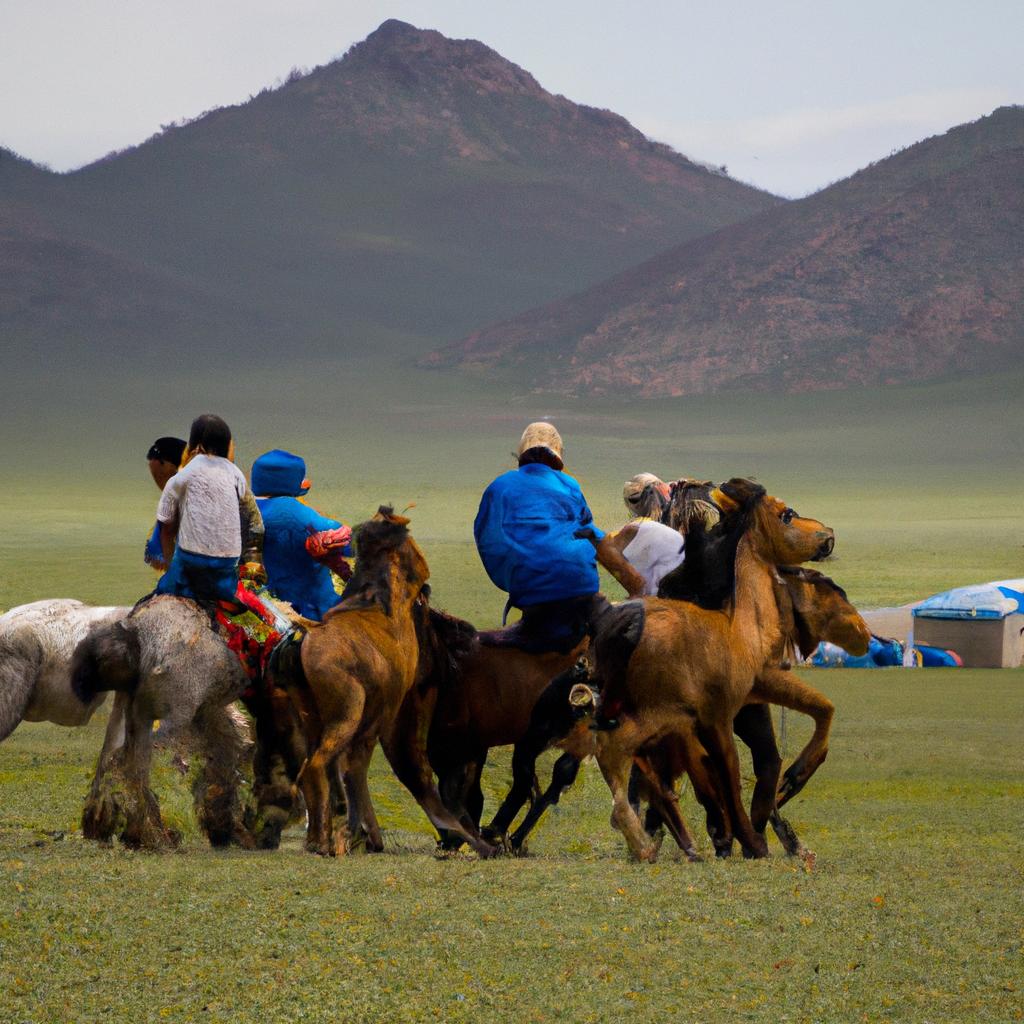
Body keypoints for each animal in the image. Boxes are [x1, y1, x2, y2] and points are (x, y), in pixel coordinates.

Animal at [284, 509, 495, 856]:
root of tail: (305, 641)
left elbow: (354, 767)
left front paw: (362, 834)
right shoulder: (384, 714)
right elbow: (359, 765)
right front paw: (365, 835)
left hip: (313, 719)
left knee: (312, 769)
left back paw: (319, 837)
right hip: (348, 713)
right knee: (318, 766)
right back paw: (324, 840)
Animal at [598, 475, 835, 860]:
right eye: (787, 514)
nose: (828, 535)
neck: (739, 625)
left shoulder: (752, 696)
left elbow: (818, 715)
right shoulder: (716, 718)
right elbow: (727, 775)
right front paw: (745, 837)